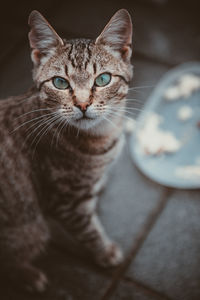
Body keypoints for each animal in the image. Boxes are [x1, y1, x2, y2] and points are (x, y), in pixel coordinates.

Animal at [0, 8, 133, 290]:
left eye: (103, 79)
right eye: (60, 83)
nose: (82, 105)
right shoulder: (65, 200)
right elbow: (88, 230)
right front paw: (104, 252)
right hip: (33, 228)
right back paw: (27, 274)